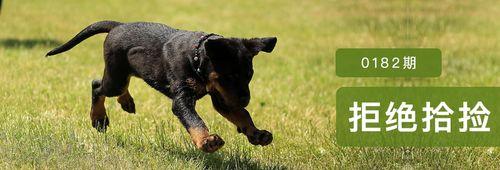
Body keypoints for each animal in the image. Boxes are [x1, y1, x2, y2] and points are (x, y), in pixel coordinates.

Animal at [46, 20, 278, 153]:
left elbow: (242, 115)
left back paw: (126, 102)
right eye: (229, 76)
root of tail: (118, 25)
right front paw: (206, 141)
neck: (195, 58)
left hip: (125, 71)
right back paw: (99, 118)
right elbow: (195, 120)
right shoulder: (183, 98)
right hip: (115, 77)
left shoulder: (222, 98)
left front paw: (257, 134)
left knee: (120, 86)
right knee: (97, 86)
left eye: (249, 75)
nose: (245, 99)